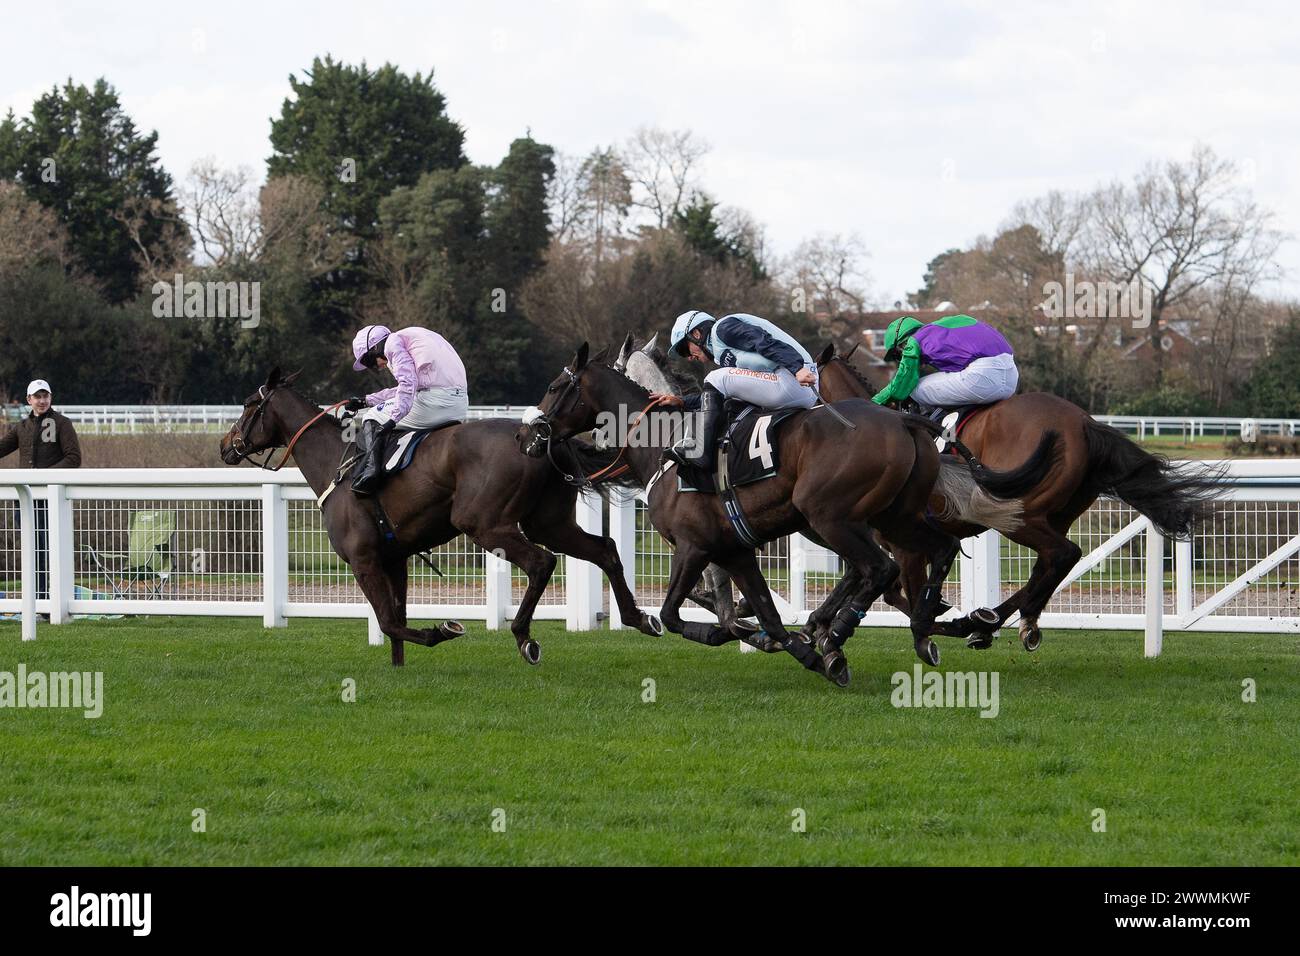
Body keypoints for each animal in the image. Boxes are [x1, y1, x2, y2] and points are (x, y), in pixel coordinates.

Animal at [219, 369, 665, 671]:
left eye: (248, 404)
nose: (225, 445)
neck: (337, 464)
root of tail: (541, 437)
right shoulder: (393, 559)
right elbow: (395, 620)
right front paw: (398, 668)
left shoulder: (363, 561)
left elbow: (390, 622)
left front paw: (443, 629)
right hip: (550, 523)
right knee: (605, 550)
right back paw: (639, 618)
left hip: (485, 524)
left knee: (542, 562)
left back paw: (524, 637)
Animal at [512, 343, 1050, 681]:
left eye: (556, 387)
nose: (525, 435)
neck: (666, 442)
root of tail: (905, 421)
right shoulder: (733, 551)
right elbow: (764, 616)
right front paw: (792, 647)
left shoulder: (694, 547)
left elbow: (674, 615)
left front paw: (781, 640)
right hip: (896, 516)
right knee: (936, 551)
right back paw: (922, 630)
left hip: (831, 517)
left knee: (881, 568)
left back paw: (844, 631)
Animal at [816, 343, 1222, 650]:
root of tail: (1084, 424)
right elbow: (878, 584)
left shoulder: (904, 544)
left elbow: (905, 596)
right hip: (1055, 513)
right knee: (1050, 563)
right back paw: (1000, 620)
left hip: (1016, 514)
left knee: (1063, 553)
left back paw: (982, 621)